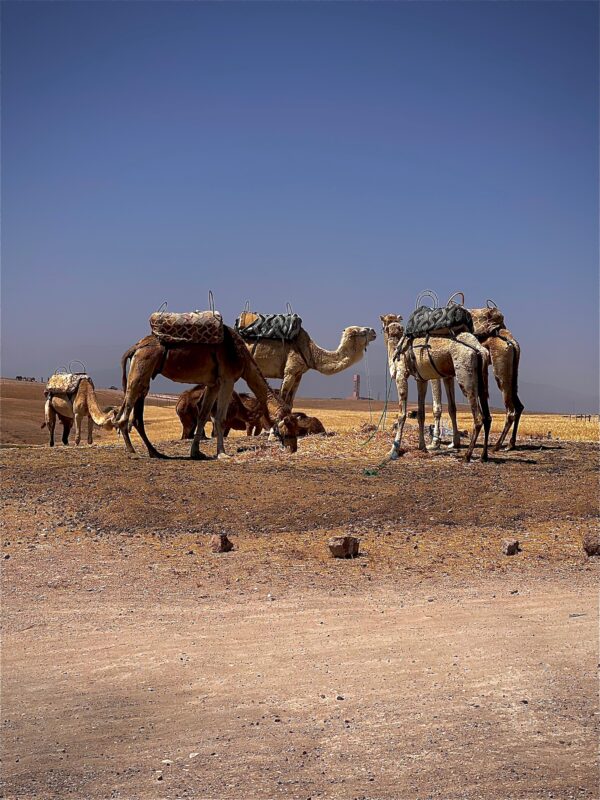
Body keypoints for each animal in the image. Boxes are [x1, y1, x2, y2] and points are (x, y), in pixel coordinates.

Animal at [115, 326, 299, 459]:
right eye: (288, 427)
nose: (293, 448)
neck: (243, 359)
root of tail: (136, 347)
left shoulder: (213, 384)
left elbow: (203, 416)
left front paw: (196, 452)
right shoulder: (227, 379)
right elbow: (220, 419)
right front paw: (222, 454)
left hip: (144, 371)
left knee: (137, 409)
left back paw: (154, 452)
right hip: (142, 364)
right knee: (126, 410)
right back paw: (132, 451)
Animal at [244, 325, 377, 407]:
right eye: (363, 332)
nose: (374, 331)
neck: (311, 352)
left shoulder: (298, 374)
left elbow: (290, 403)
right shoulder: (290, 371)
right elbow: (282, 400)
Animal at [380, 314, 492, 462]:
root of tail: (479, 349)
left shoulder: (401, 375)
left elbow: (402, 415)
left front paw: (393, 451)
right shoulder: (421, 379)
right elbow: (420, 413)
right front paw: (422, 446)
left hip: (464, 373)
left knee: (478, 417)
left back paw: (467, 456)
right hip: (482, 378)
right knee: (487, 416)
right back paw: (484, 456)